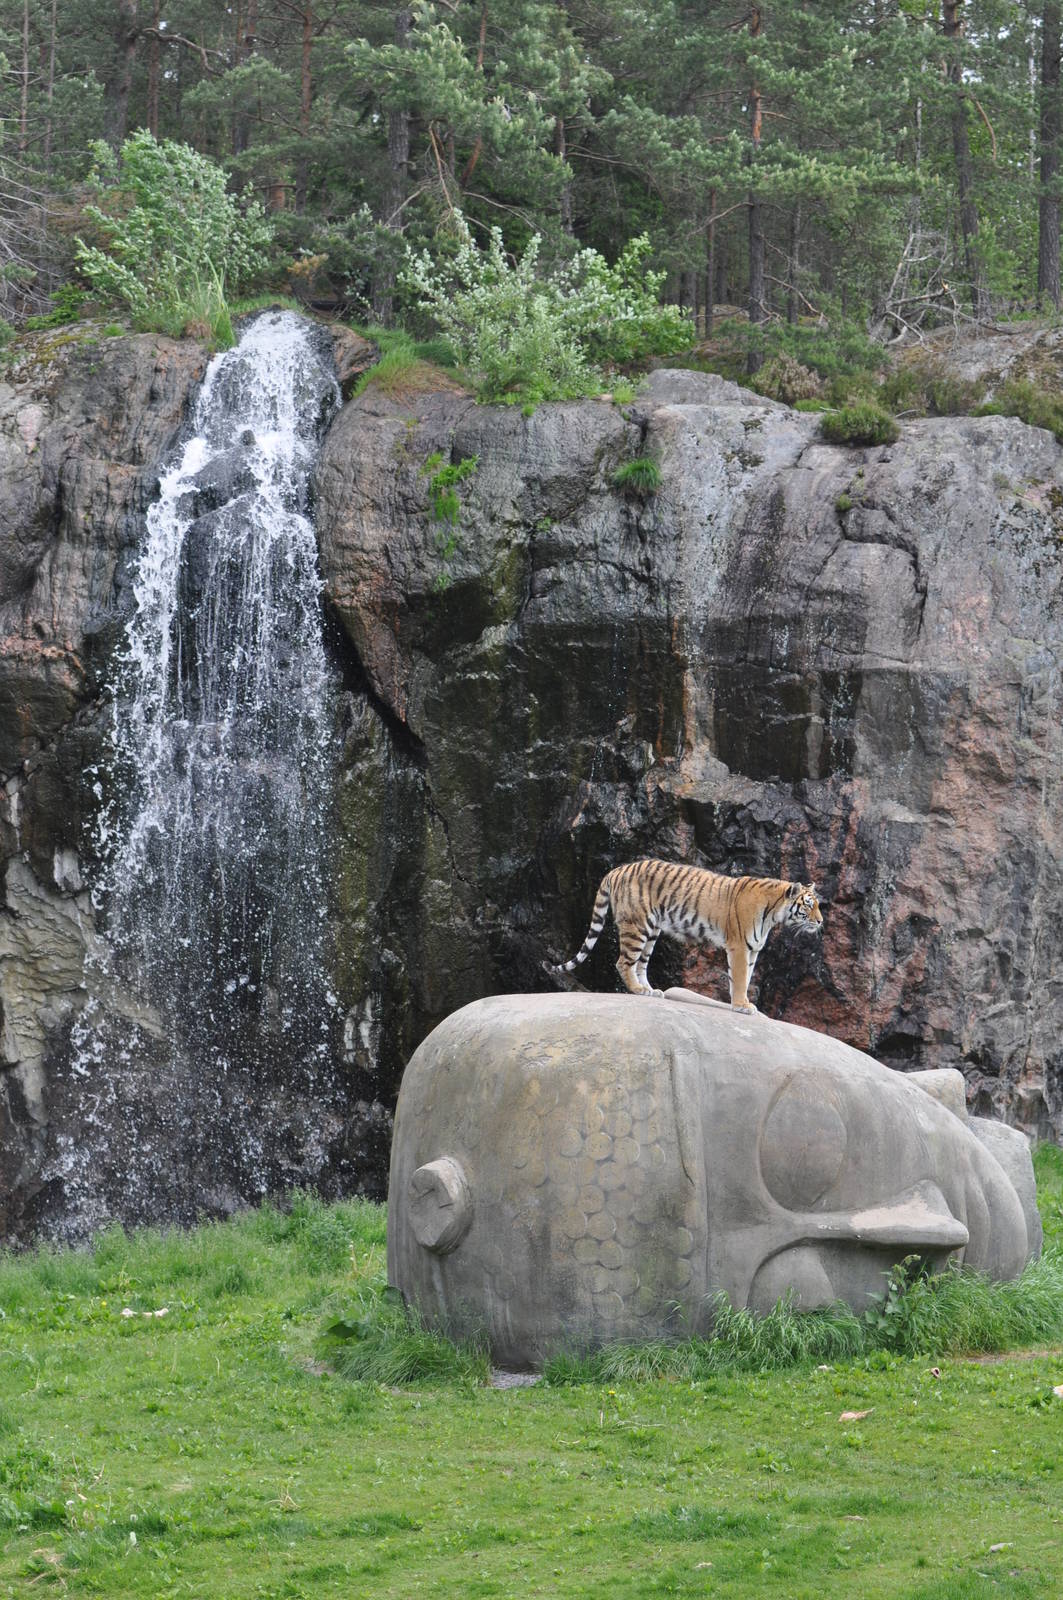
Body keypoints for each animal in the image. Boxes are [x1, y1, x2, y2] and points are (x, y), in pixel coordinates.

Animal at [554, 860, 823, 1012]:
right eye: (809, 905)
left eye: (817, 905)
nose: (821, 922)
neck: (773, 914)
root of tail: (617, 870)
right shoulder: (739, 947)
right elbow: (739, 978)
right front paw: (741, 1006)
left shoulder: (752, 949)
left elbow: (745, 979)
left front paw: (744, 1002)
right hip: (637, 927)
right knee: (623, 962)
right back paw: (638, 990)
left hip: (652, 931)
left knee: (641, 964)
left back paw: (651, 991)